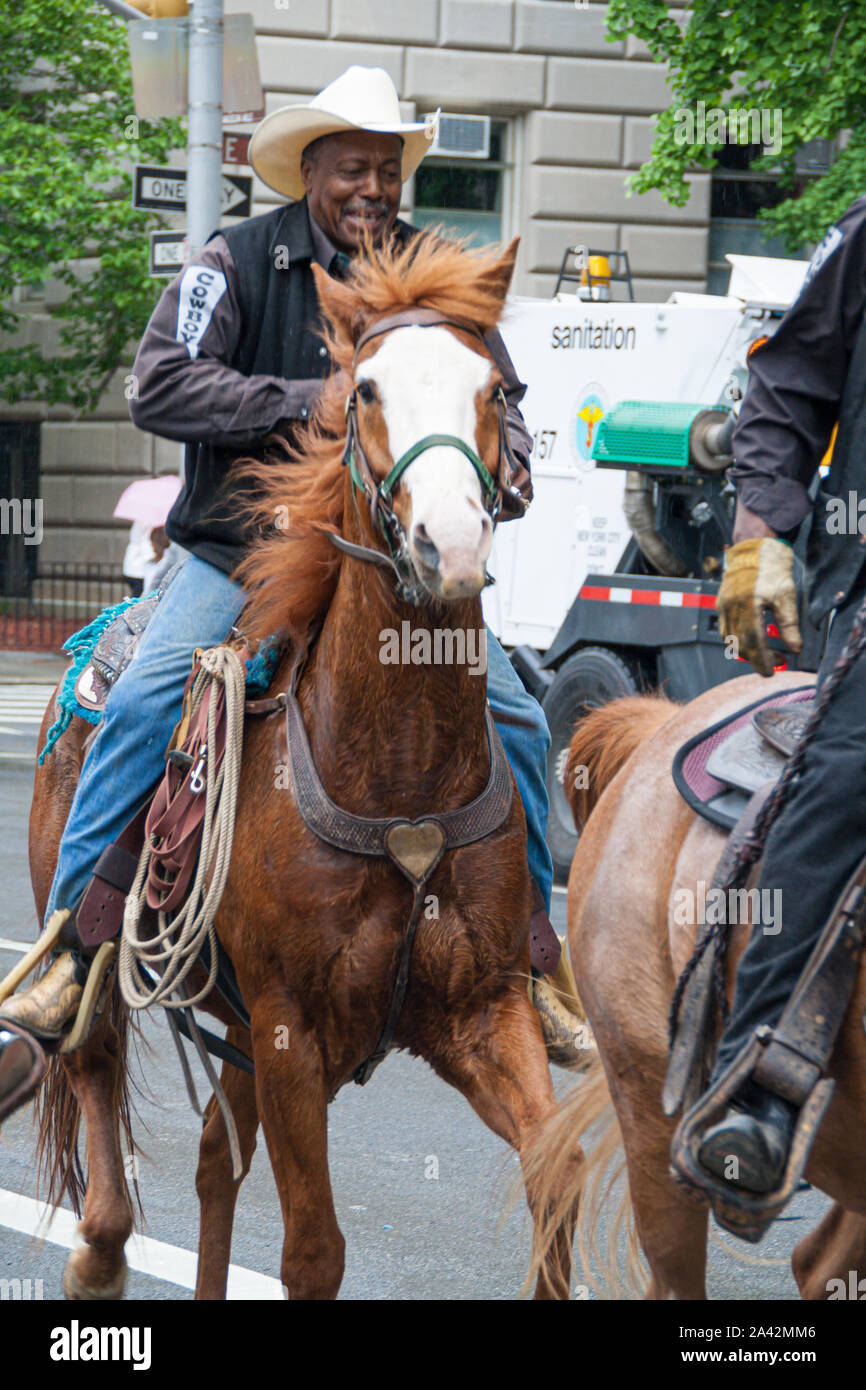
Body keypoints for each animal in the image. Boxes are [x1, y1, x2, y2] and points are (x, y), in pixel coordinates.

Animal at [25, 230, 583, 1301]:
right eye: (362, 389)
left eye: (499, 388)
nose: (449, 543)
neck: (400, 770)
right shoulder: (291, 1034)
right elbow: (313, 1250)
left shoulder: (482, 1011)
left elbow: (557, 1171)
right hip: (113, 960)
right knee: (95, 1068)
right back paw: (101, 1251)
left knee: (213, 1154)